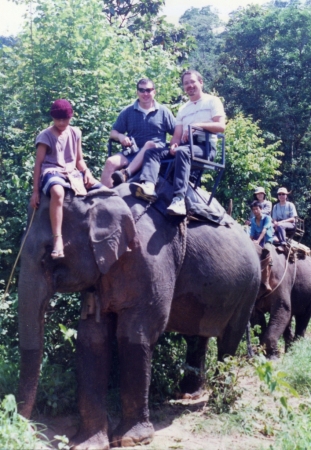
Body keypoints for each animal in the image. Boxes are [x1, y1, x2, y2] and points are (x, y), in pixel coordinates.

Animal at [16, 184, 260, 450]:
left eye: (50, 256)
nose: (29, 430)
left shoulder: (151, 260)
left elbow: (134, 335)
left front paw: (131, 439)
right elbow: (92, 338)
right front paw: (86, 444)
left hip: (249, 289)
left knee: (229, 340)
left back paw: (217, 398)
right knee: (197, 336)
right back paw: (187, 393)